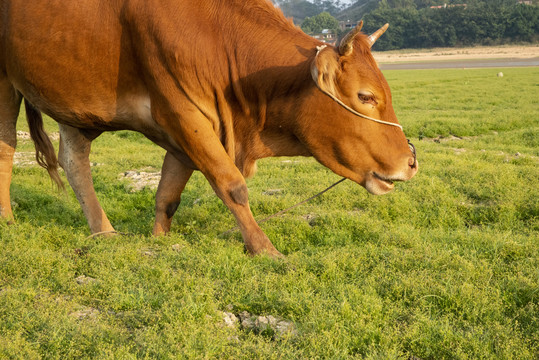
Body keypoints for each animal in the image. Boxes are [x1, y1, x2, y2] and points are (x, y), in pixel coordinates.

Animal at [0, 0, 420, 256]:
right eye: (366, 96)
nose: (411, 161)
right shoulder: (182, 112)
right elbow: (232, 185)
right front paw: (264, 249)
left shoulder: (186, 128)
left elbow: (168, 195)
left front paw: (159, 242)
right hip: (4, 82)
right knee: (6, 149)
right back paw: (7, 221)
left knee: (75, 161)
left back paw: (103, 231)